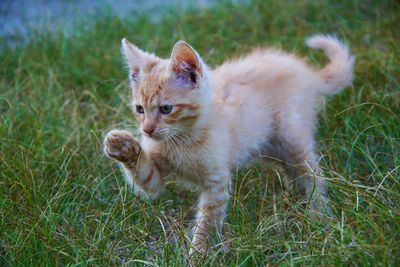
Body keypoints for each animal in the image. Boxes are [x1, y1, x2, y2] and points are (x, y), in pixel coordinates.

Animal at [103, 34, 354, 254]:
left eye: (166, 109)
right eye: (140, 109)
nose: (146, 130)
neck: (182, 140)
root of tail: (307, 73)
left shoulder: (216, 183)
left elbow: (207, 225)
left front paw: (198, 255)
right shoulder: (155, 175)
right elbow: (146, 178)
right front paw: (122, 147)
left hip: (292, 138)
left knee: (313, 175)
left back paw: (320, 215)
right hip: (269, 146)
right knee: (292, 170)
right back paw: (294, 197)